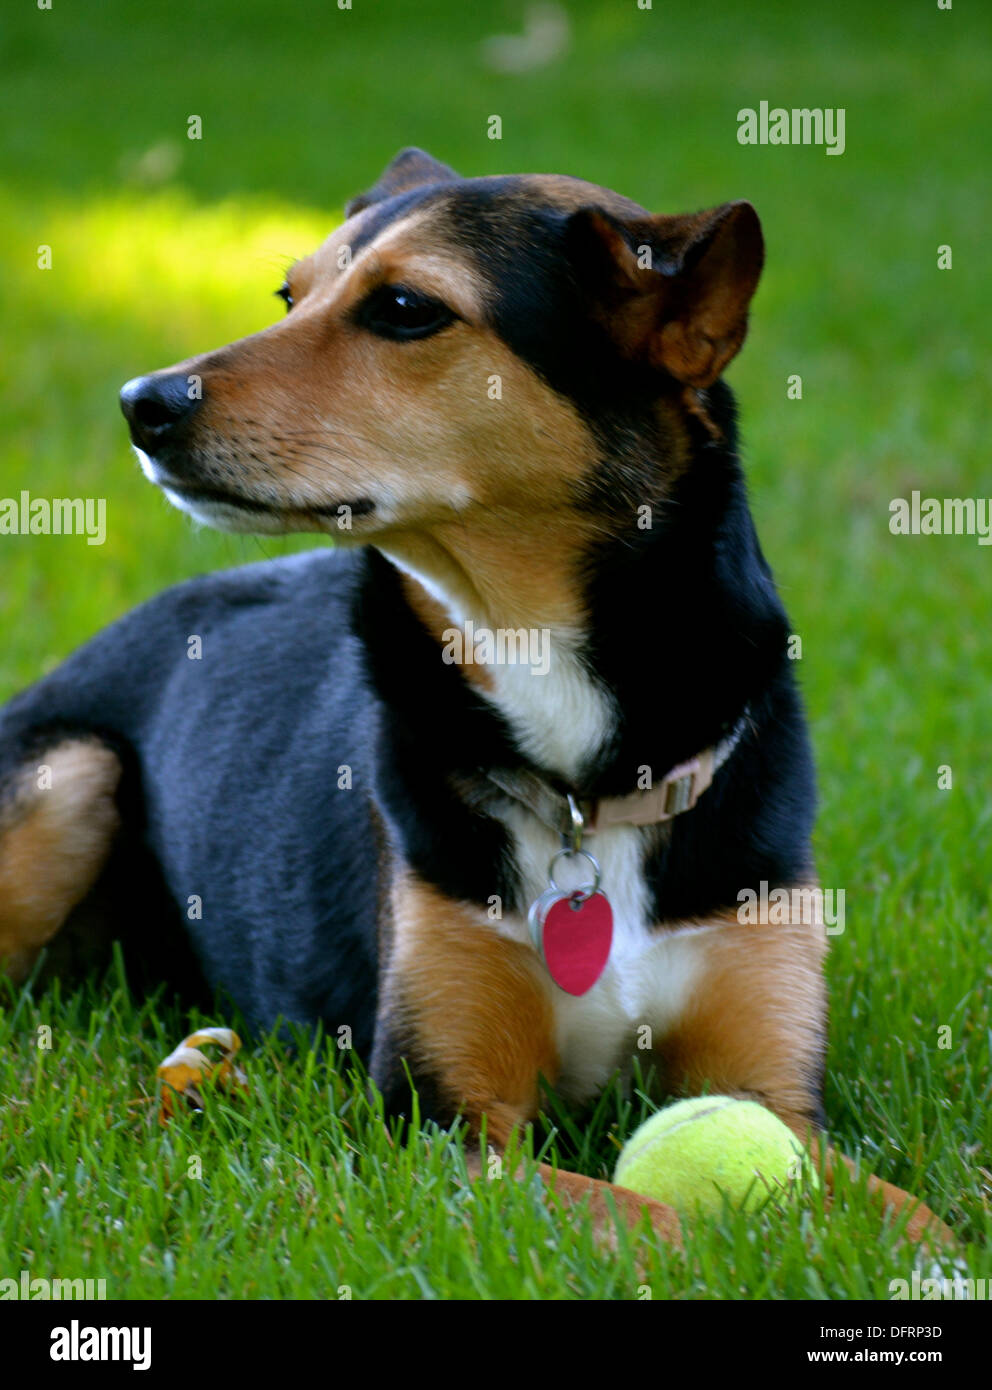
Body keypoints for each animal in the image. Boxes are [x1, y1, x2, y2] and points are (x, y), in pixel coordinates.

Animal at [0, 152, 944, 1251]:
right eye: (290, 294)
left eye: (407, 310)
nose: (141, 403)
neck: (579, 778)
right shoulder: (440, 1124)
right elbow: (648, 1216)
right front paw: (725, 1242)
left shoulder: (775, 1089)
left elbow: (907, 1215)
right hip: (72, 772)